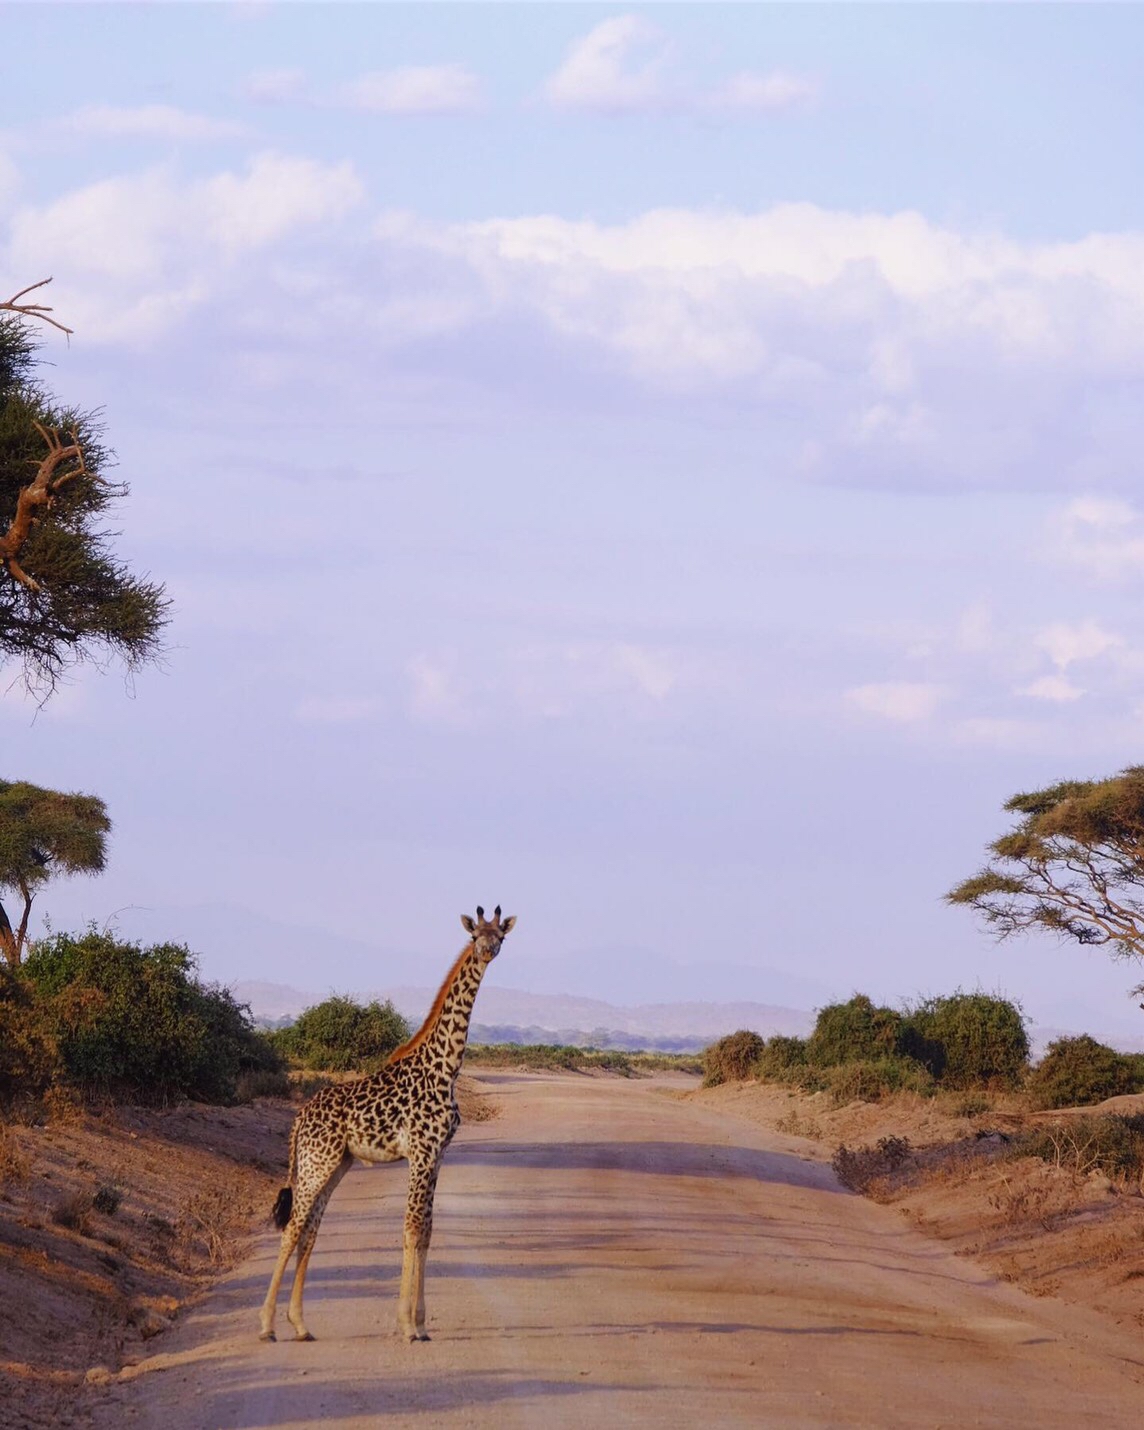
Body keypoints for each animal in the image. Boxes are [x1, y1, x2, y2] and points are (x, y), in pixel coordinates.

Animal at [258, 904, 515, 1344]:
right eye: (473, 936)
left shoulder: (438, 1155)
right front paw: (408, 1325)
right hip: (316, 1163)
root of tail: (299, 1118)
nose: (486, 951)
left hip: (336, 1164)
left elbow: (426, 1230)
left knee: (310, 1230)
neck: (445, 1068)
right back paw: (266, 1326)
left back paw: (301, 1324)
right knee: (292, 1228)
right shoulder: (421, 1152)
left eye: (500, 936)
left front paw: (421, 1323)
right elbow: (411, 1228)